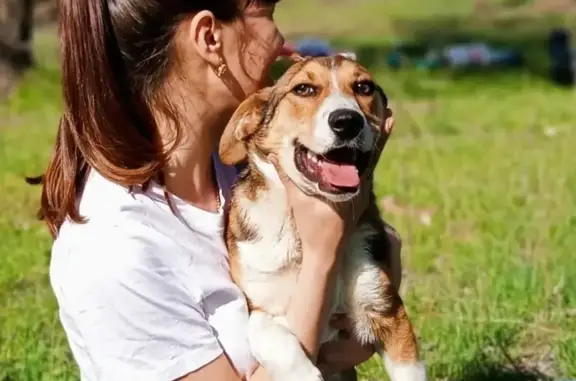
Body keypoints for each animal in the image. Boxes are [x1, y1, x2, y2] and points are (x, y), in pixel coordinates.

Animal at [220, 55, 428, 380]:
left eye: (364, 87)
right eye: (303, 89)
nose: (347, 121)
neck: (298, 235)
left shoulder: (388, 311)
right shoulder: (259, 303)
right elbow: (261, 330)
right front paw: (303, 373)